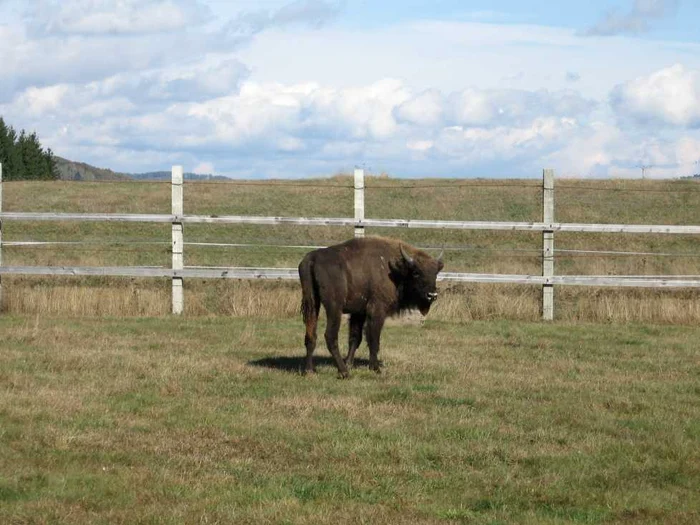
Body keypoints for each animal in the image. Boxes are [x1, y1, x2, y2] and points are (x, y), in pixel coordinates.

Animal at [296, 236, 442, 376]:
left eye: (435, 274)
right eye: (416, 272)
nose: (432, 295)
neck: (395, 270)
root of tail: (312, 258)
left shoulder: (358, 312)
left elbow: (355, 338)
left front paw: (349, 363)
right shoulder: (377, 311)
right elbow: (374, 339)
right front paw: (375, 368)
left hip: (313, 303)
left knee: (310, 336)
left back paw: (309, 370)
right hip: (334, 308)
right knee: (330, 336)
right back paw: (343, 372)